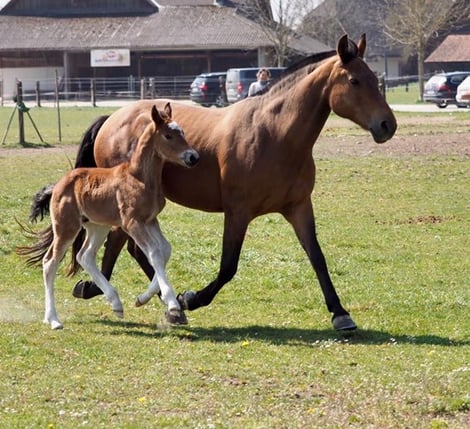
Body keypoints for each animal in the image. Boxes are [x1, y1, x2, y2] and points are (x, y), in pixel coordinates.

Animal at [17, 103, 199, 329]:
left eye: (182, 131)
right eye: (168, 135)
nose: (193, 157)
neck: (139, 177)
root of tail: (57, 185)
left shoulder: (150, 221)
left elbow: (165, 250)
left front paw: (143, 298)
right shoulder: (132, 223)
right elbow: (155, 253)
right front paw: (172, 304)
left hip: (97, 227)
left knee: (85, 256)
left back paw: (116, 303)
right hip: (66, 227)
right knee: (50, 262)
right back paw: (53, 319)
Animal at [42, 34, 397, 331]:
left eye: (374, 79)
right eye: (354, 80)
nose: (387, 125)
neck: (274, 134)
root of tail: (112, 118)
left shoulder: (298, 207)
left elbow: (318, 258)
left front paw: (340, 314)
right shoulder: (237, 212)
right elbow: (228, 267)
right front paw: (191, 298)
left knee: (128, 248)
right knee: (120, 247)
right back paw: (122, 295)